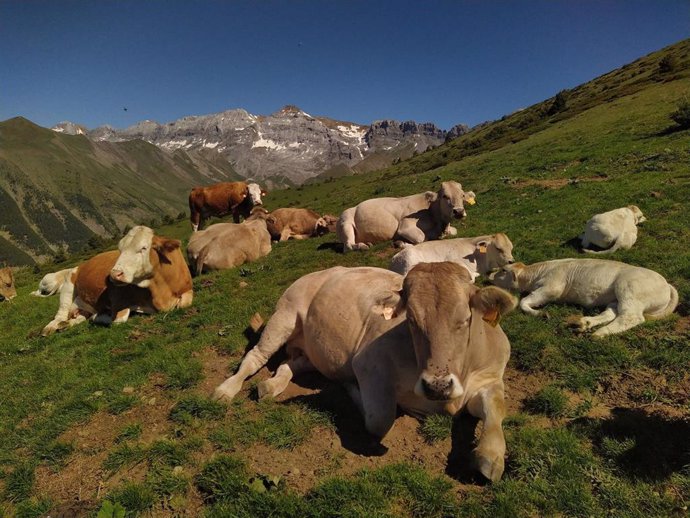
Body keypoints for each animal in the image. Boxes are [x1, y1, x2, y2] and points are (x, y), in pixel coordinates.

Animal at [41, 228, 192, 338]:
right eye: (120, 250)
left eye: (144, 248)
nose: (114, 274)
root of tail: (81, 264)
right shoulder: (116, 298)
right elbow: (119, 321)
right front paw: (100, 316)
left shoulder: (187, 288)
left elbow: (185, 304)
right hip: (68, 285)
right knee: (60, 314)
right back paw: (50, 327)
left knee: (80, 317)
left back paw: (66, 324)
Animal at [212, 264, 512, 484]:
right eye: (411, 320)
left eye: (465, 319)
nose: (437, 386)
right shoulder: (367, 363)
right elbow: (378, 419)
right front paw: (350, 387)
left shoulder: (491, 376)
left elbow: (497, 407)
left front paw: (491, 455)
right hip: (284, 315)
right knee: (255, 357)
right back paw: (226, 390)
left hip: (313, 350)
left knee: (289, 364)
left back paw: (271, 386)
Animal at [336, 183, 476, 254]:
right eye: (444, 196)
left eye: (463, 195)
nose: (459, 212)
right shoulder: (405, 226)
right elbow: (421, 238)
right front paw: (401, 243)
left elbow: (453, 232)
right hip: (346, 223)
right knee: (348, 246)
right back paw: (363, 246)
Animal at [490, 258, 676, 340]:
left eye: (503, 270)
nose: (488, 275)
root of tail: (667, 284)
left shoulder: (553, 288)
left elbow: (523, 302)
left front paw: (542, 314)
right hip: (616, 298)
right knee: (611, 313)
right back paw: (582, 324)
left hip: (628, 289)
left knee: (631, 317)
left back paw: (599, 333)